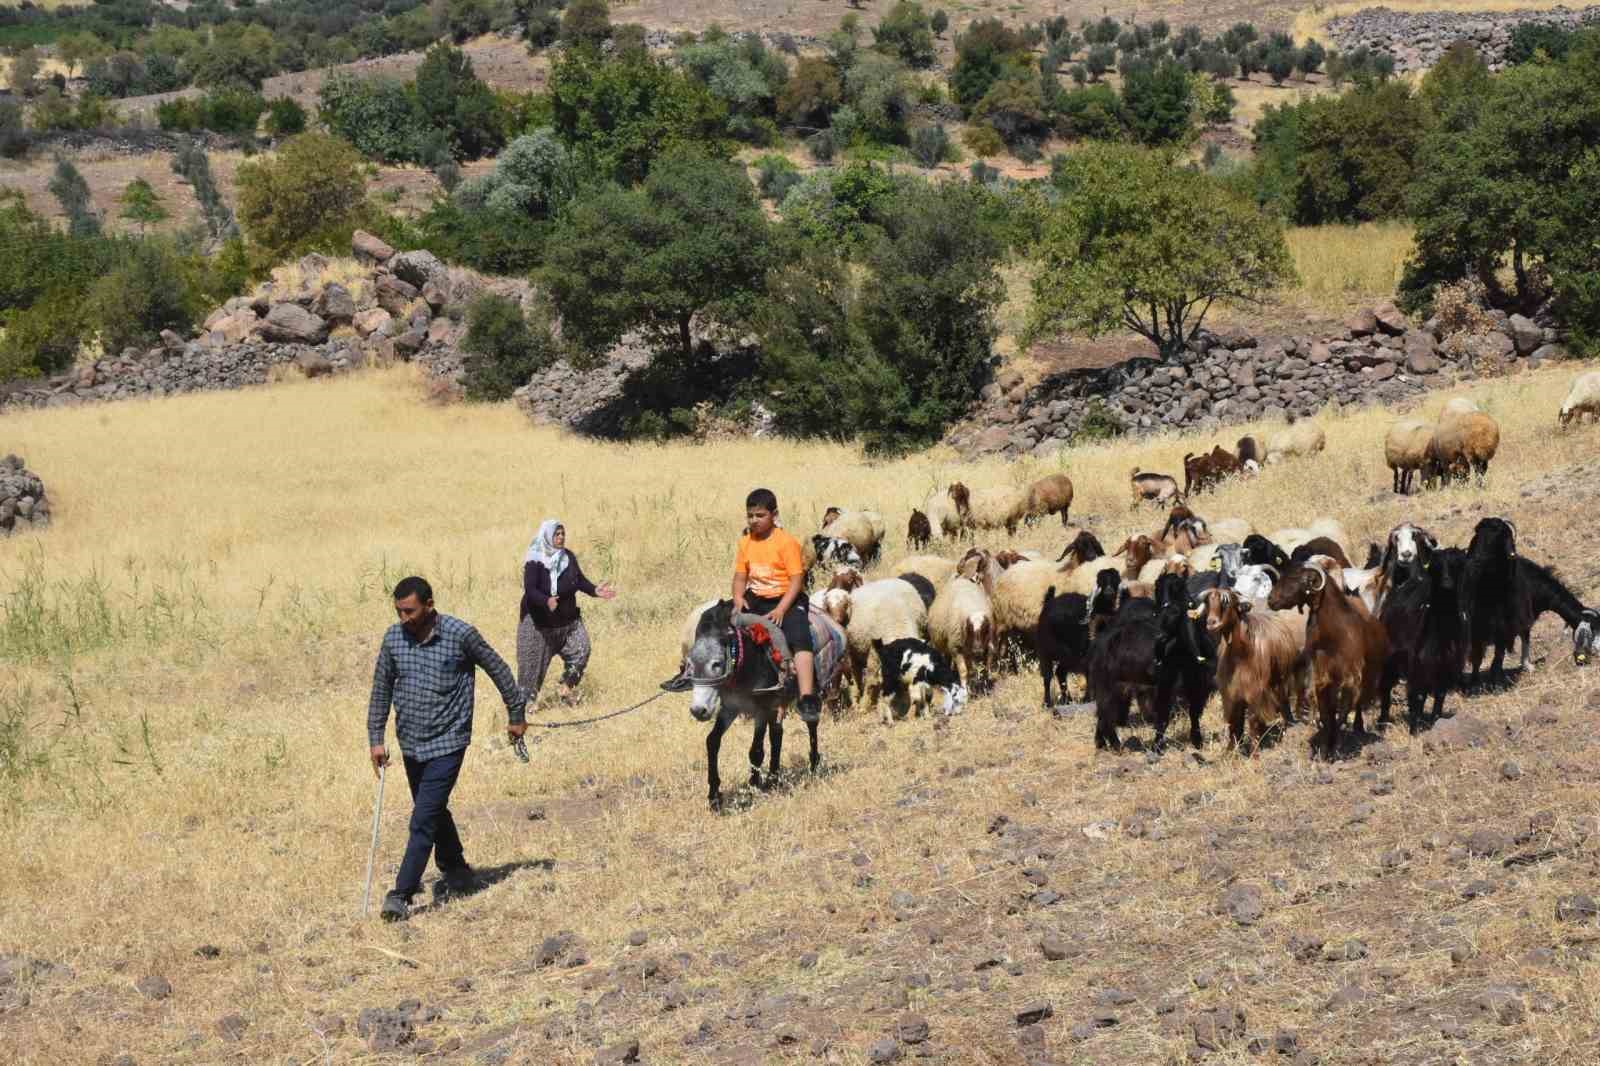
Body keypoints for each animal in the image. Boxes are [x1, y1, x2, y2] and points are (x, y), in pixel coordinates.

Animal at [1260, 563, 1388, 755]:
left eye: (1298, 578)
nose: (1270, 600)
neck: (1333, 634)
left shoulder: (1350, 677)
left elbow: (1342, 712)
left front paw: (1334, 748)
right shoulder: (1322, 678)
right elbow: (1327, 713)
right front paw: (1325, 745)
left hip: (1368, 675)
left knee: (1358, 704)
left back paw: (1358, 727)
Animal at [1382, 541, 1465, 729]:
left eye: (1457, 565)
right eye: (1436, 566)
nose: (1447, 584)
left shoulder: (1446, 665)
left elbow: (1440, 695)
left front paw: (1436, 720)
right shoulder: (1419, 665)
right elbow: (1419, 695)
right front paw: (1414, 728)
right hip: (1390, 659)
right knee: (1386, 688)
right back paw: (1382, 721)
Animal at [1465, 515, 1523, 688]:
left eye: (1498, 537)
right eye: (1478, 535)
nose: (1476, 562)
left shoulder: (1504, 628)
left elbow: (1499, 654)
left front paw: (1496, 681)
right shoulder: (1476, 628)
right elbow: (1477, 656)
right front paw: (1474, 684)